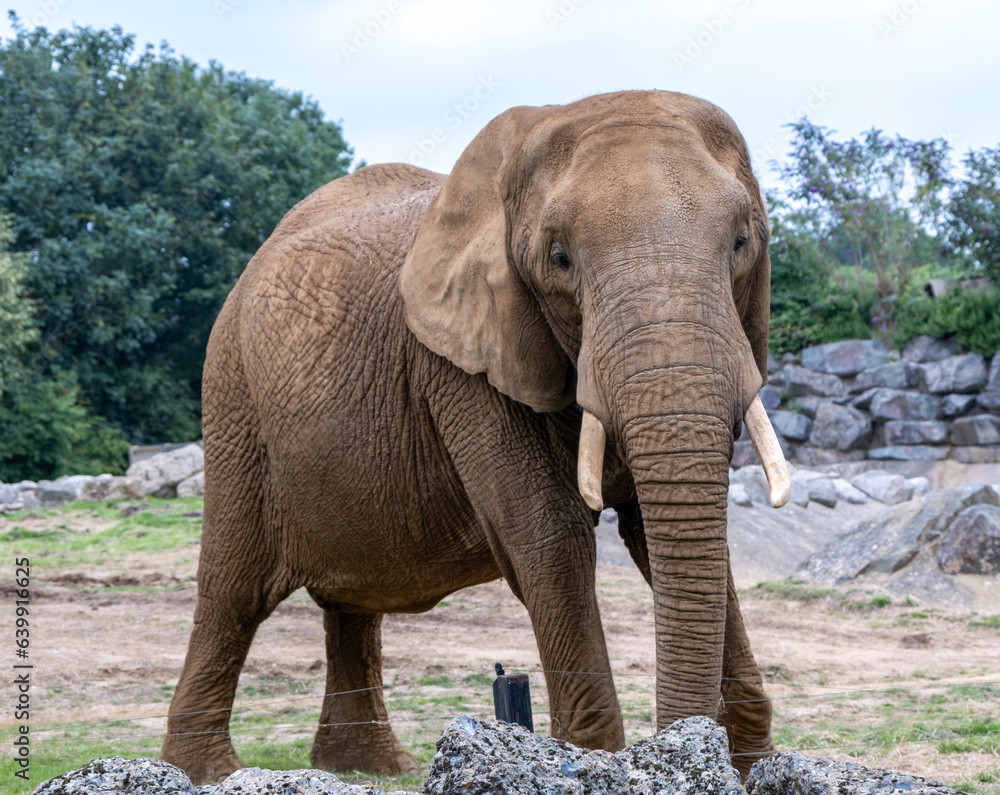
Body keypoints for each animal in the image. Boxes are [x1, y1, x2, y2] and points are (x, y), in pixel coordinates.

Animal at [160, 89, 790, 784]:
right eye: (559, 258)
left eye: (742, 242)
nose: (685, 746)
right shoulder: (458, 361)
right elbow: (548, 533)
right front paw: (589, 763)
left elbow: (658, 534)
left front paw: (755, 767)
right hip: (233, 398)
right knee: (233, 589)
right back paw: (206, 771)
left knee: (347, 601)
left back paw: (371, 767)